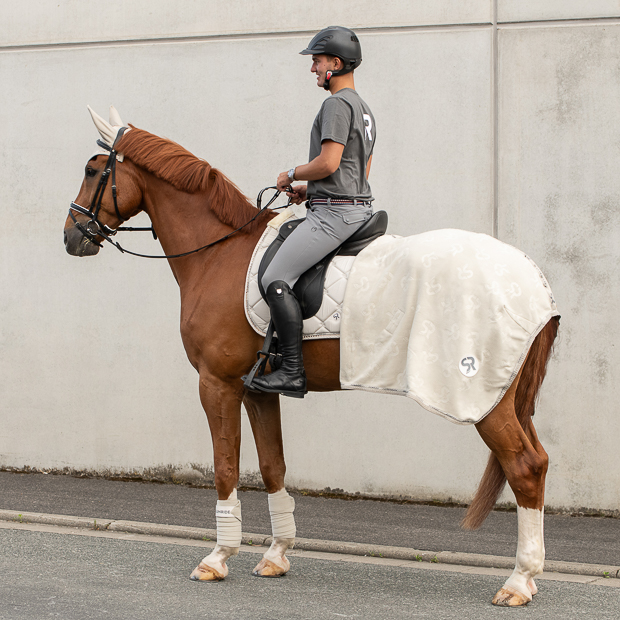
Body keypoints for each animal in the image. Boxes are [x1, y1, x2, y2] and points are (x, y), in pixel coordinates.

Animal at [65, 106, 560, 604]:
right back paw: (528, 576)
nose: (72, 235)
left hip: (486, 399)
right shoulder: (256, 390)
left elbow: (225, 468)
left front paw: (217, 558)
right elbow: (272, 466)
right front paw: (276, 555)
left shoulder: (216, 383)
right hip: (508, 396)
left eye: (92, 170)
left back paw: (518, 581)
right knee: (537, 461)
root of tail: (531, 278)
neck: (220, 253)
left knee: (525, 467)